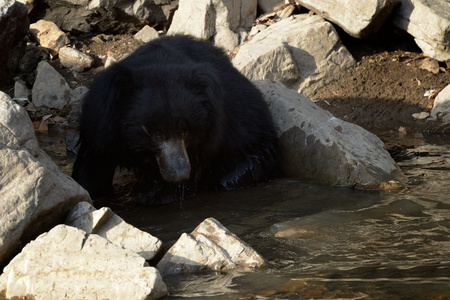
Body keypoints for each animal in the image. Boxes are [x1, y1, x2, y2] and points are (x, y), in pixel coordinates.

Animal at [73, 34, 278, 204]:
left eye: (185, 131)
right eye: (156, 135)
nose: (179, 174)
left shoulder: (211, 133)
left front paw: (158, 196)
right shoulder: (101, 123)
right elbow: (93, 165)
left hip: (254, 146)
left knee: (233, 174)